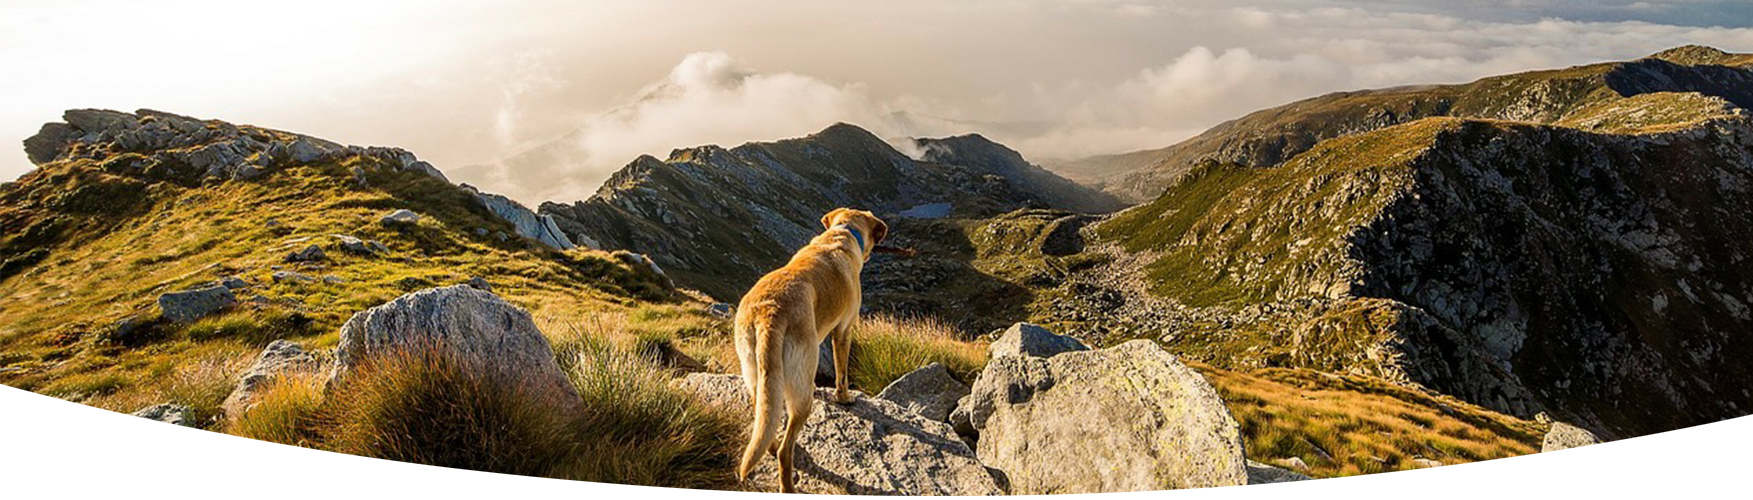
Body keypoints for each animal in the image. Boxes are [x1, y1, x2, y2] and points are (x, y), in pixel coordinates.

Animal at [732, 205, 890, 491]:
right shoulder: (843, 331)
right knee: (786, 450)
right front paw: (844, 398)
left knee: (765, 423)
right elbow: (842, 373)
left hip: (755, 373)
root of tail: (770, 313)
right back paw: (788, 485)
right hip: (803, 392)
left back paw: (768, 448)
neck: (841, 233)